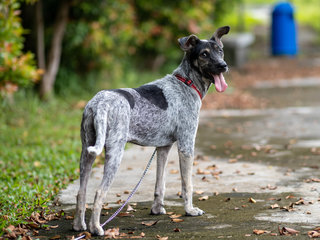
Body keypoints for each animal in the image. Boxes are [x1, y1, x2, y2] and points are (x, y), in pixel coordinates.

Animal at [73, 25, 230, 235]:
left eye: (219, 50)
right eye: (204, 54)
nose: (223, 65)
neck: (186, 82)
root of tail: (99, 104)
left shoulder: (163, 148)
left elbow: (160, 183)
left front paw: (157, 209)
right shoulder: (186, 146)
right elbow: (187, 184)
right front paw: (190, 210)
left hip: (86, 153)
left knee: (81, 192)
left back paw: (78, 226)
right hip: (115, 153)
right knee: (99, 192)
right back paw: (96, 228)